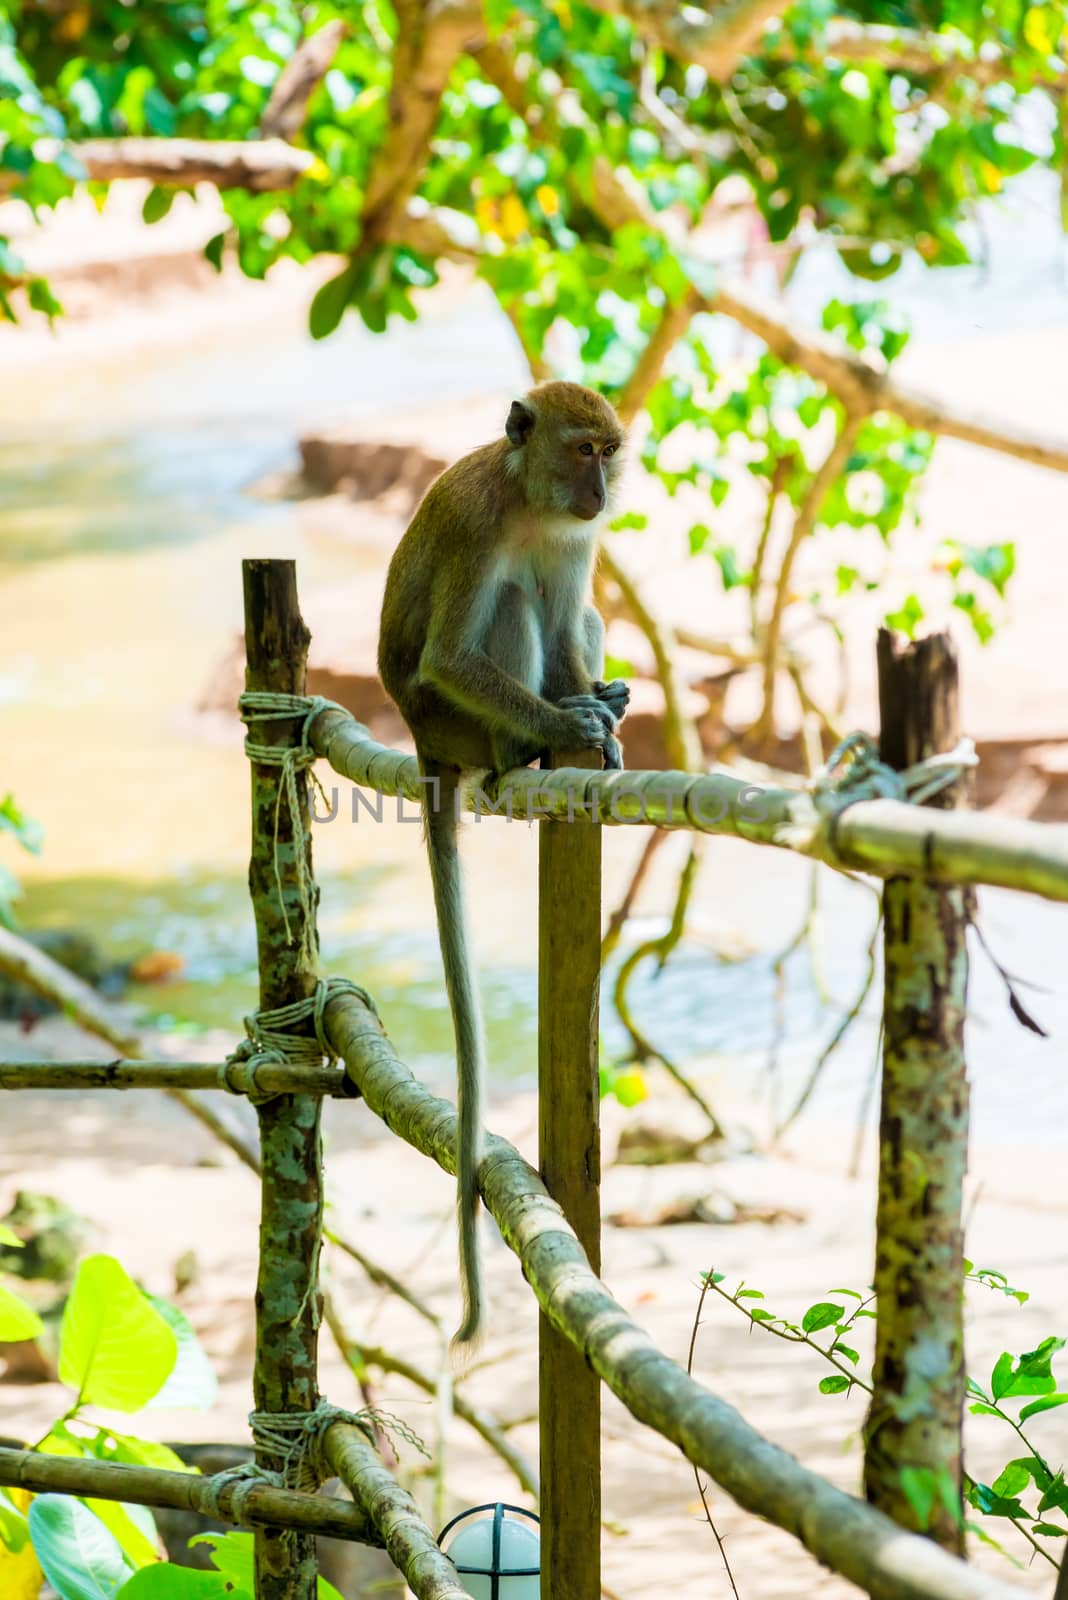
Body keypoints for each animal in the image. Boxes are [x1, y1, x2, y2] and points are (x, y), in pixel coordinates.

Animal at [377, 380, 629, 1344]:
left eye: (609, 451)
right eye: (582, 448)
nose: (603, 489)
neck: (532, 501)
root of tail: (420, 742)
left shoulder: (575, 537)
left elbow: (569, 615)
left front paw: (592, 707)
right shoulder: (482, 526)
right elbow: (454, 653)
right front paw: (566, 722)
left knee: (563, 612)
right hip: (446, 718)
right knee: (512, 608)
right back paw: (524, 750)